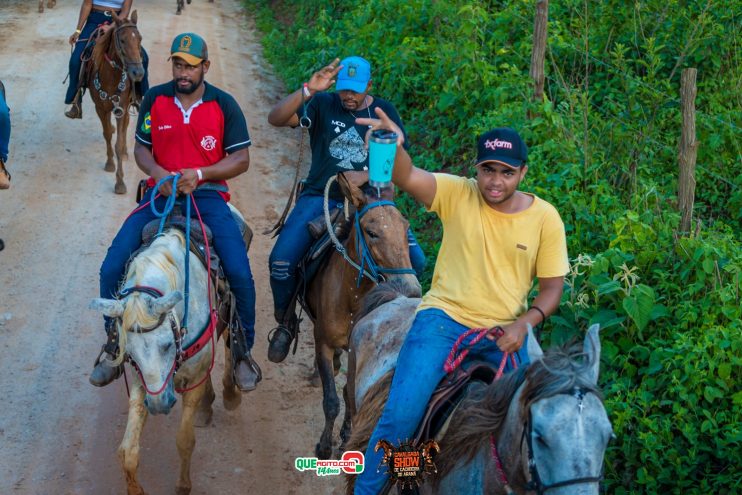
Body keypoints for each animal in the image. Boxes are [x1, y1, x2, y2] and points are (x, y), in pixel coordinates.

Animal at [89, 229, 241, 495]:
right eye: (129, 353)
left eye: (168, 344)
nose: (159, 405)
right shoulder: (142, 382)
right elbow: (127, 451)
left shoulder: (193, 379)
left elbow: (185, 440)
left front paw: (183, 486)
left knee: (230, 344)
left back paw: (231, 393)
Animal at [300, 172, 422, 460]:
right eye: (372, 232)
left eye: (405, 229)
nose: (411, 289)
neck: (352, 298)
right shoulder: (323, 342)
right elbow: (331, 400)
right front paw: (324, 447)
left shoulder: (356, 349)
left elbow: (347, 393)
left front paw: (345, 437)